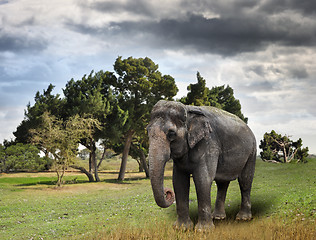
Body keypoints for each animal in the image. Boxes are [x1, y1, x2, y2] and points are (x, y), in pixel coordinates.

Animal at [147, 100, 256, 231]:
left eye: (171, 134)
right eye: (147, 131)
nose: (167, 192)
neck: (187, 109)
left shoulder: (209, 144)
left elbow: (202, 180)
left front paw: (203, 231)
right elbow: (179, 181)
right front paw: (181, 228)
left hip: (251, 152)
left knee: (245, 181)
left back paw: (243, 218)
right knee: (222, 183)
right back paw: (218, 217)